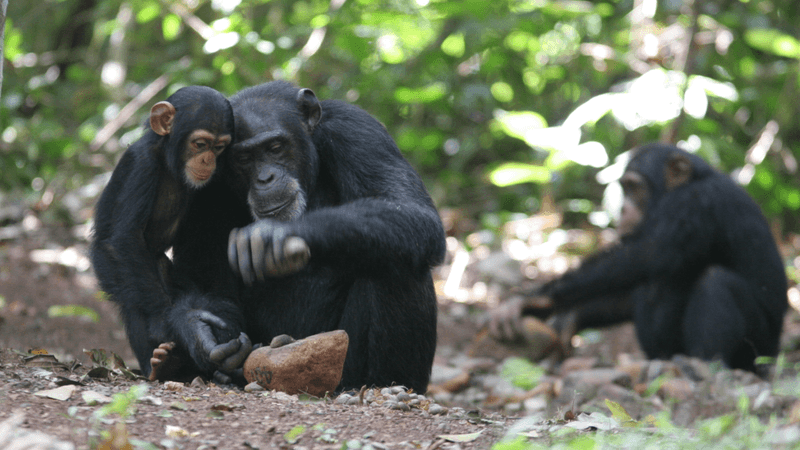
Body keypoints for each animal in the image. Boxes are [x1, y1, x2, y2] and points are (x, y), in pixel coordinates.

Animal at [90, 86, 248, 382]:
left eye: (219, 147)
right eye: (200, 144)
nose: (208, 160)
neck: (168, 161)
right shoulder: (140, 165)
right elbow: (127, 237)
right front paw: (179, 324)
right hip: (107, 265)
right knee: (131, 292)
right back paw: (163, 364)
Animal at [163, 82, 446, 392]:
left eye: (275, 147)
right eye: (243, 158)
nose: (265, 178)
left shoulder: (358, 131)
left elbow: (410, 209)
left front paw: (273, 235)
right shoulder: (200, 177)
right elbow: (200, 278)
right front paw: (199, 329)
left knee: (397, 260)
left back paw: (386, 383)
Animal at [490, 143, 784, 372]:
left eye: (634, 187)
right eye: (625, 188)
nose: (623, 208)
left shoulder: (695, 203)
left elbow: (647, 254)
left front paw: (533, 298)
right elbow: (629, 288)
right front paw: (569, 316)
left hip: (758, 351)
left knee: (714, 279)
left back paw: (702, 366)